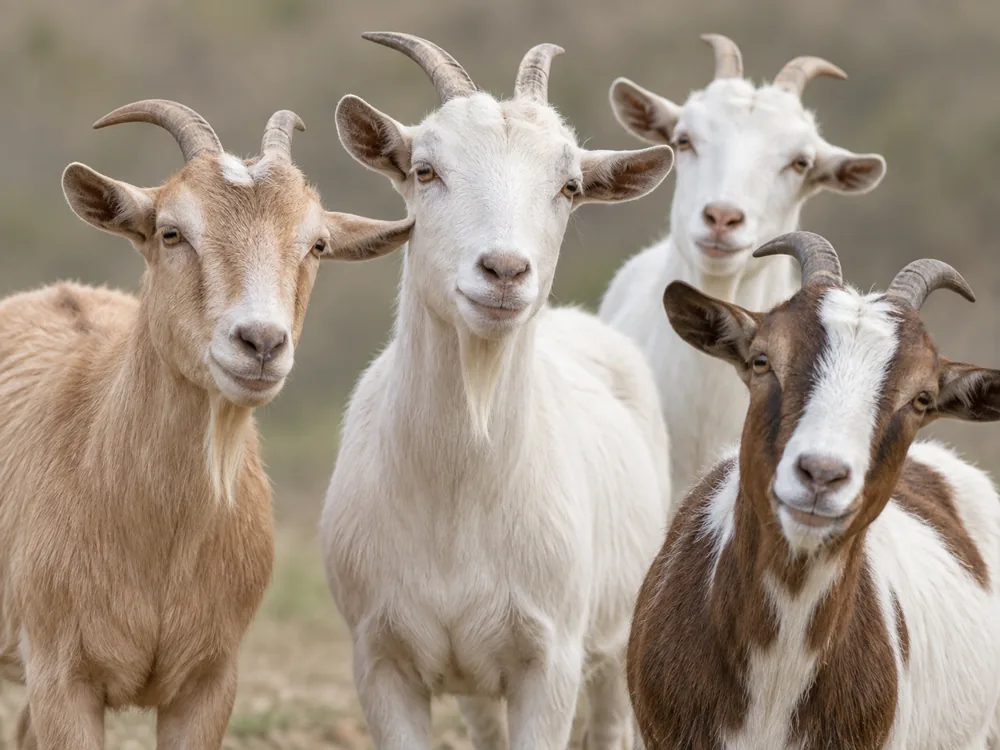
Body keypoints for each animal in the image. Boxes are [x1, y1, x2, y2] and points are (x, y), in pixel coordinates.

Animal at [320, 33, 674, 750]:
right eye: (425, 170)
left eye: (568, 186)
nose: (505, 271)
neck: (461, 491)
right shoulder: (380, 657)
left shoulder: (550, 657)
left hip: (616, 635)